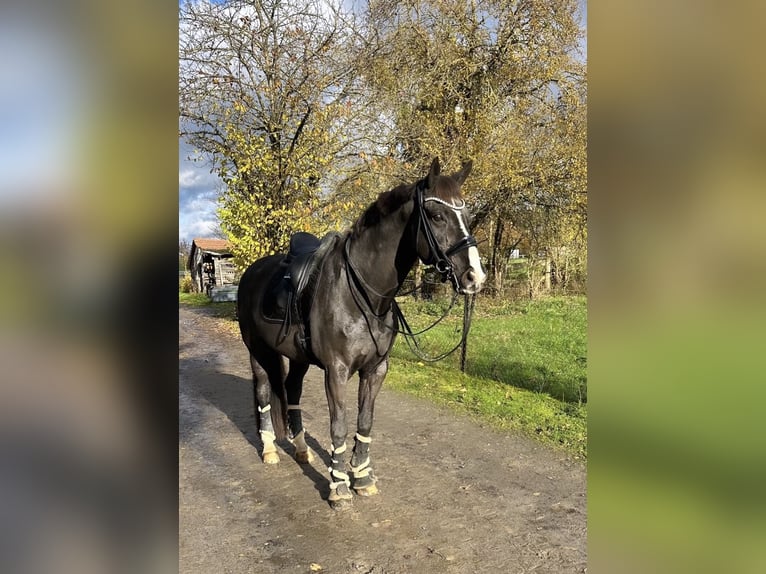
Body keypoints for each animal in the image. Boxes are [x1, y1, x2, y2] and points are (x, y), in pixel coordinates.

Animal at [237, 158, 486, 508]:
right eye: (437, 215)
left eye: (466, 214)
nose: (475, 277)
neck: (362, 295)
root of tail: (252, 271)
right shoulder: (336, 372)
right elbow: (339, 426)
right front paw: (339, 487)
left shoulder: (375, 370)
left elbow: (365, 422)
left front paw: (362, 477)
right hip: (258, 351)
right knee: (262, 391)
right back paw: (270, 449)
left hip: (298, 358)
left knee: (292, 391)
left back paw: (301, 450)